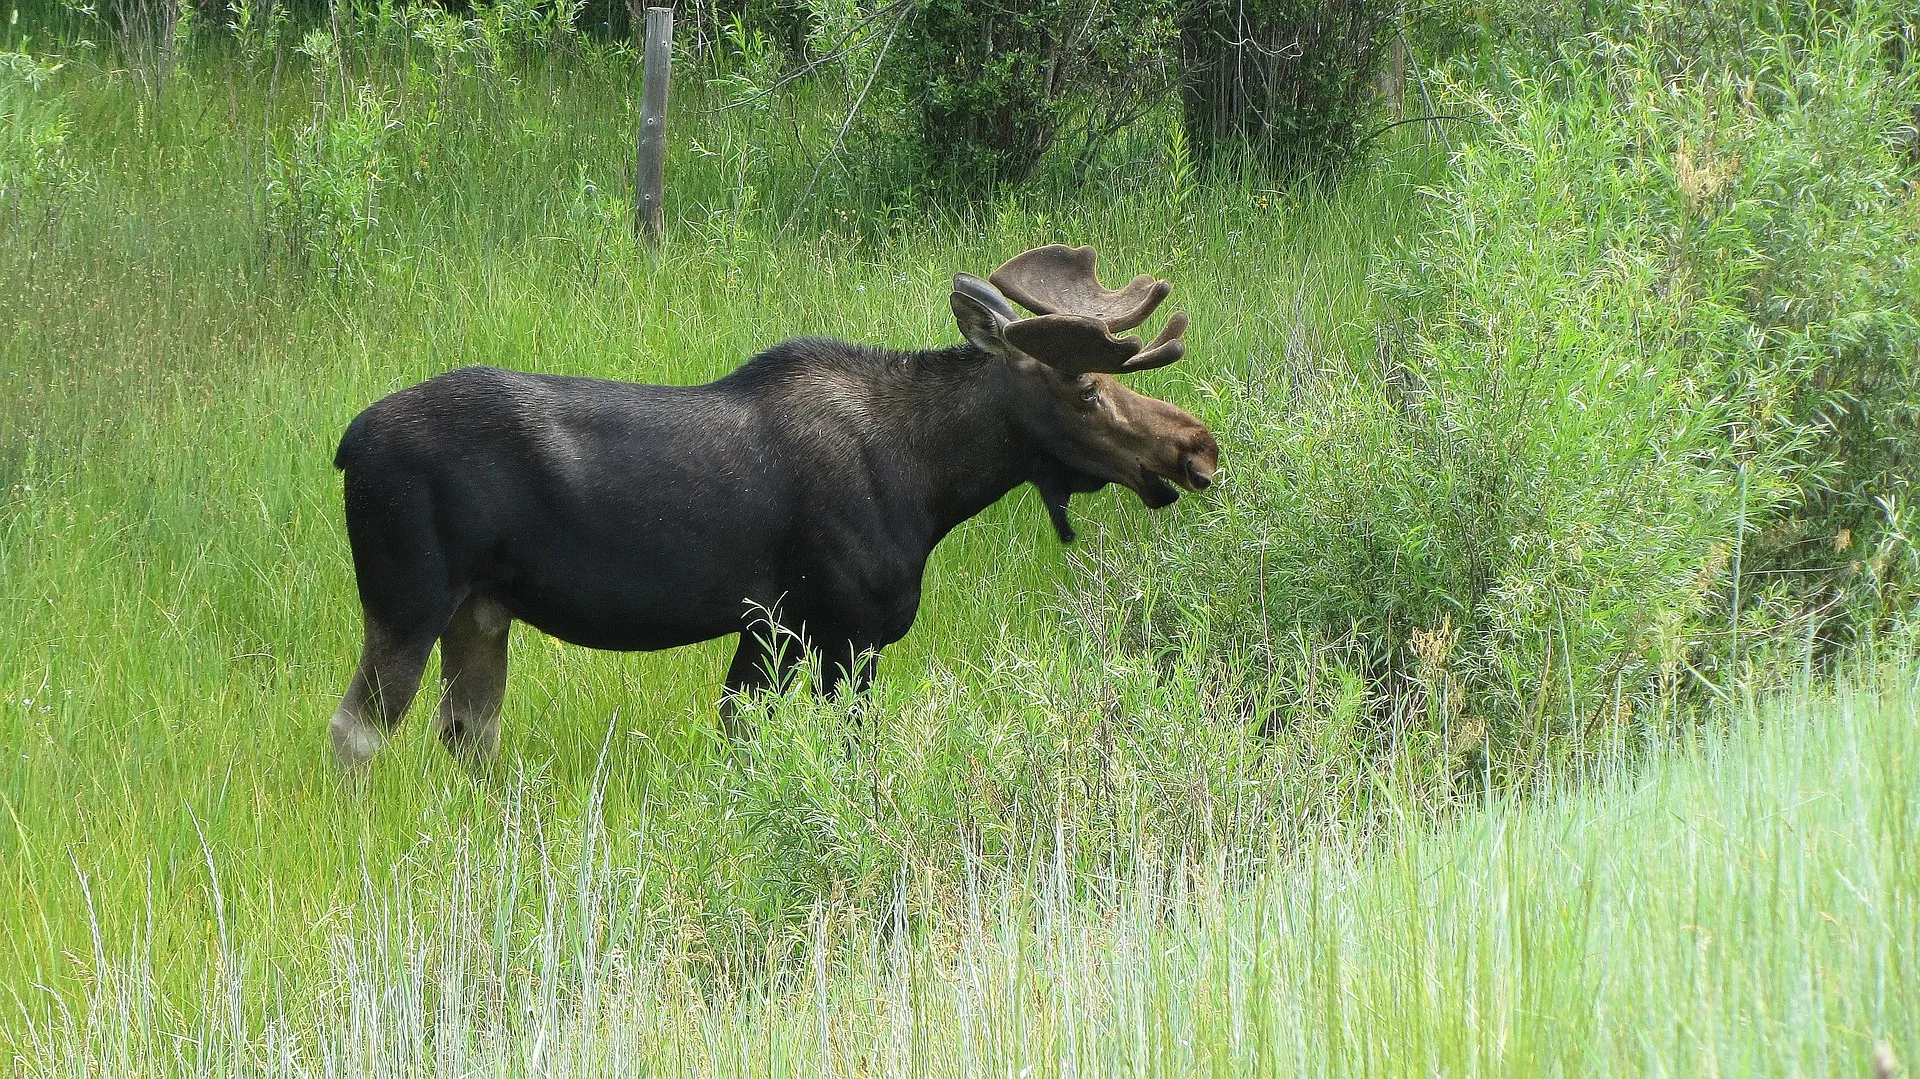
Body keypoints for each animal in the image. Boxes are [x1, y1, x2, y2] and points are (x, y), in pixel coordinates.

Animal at [330, 245, 1213, 764]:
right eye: (1088, 390)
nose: (1197, 447)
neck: (932, 486)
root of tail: (345, 445)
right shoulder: (845, 630)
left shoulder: (768, 629)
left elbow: (740, 731)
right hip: (406, 600)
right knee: (358, 730)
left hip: (480, 613)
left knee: (467, 732)